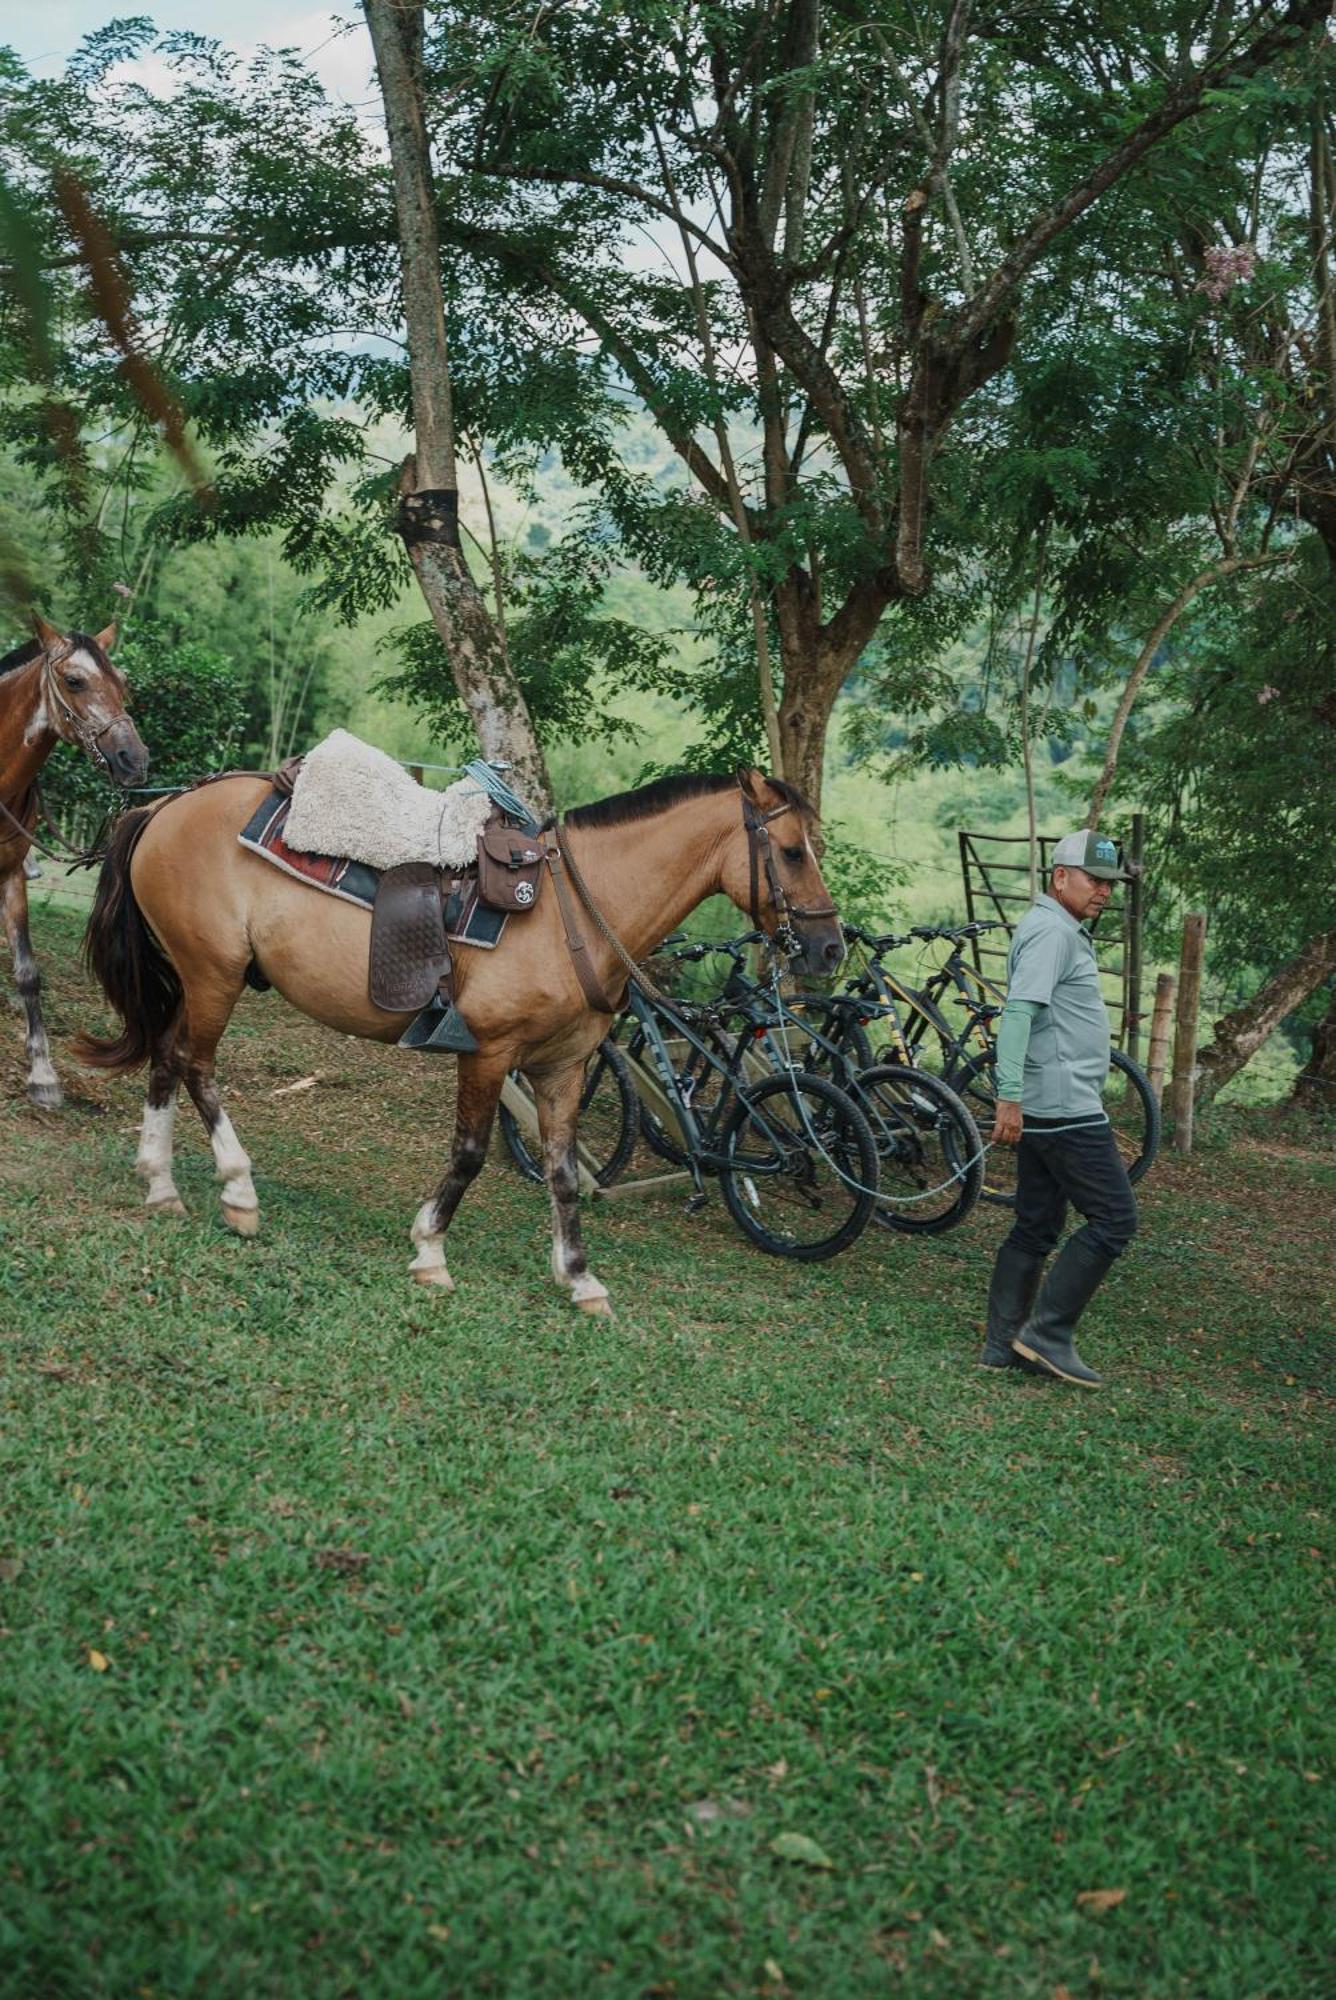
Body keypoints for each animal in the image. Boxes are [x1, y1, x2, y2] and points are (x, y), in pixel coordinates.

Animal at [2, 612, 149, 1112]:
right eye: (74, 681)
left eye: (123, 683)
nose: (134, 759)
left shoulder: (9, 874)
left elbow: (28, 972)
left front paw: (43, 1074)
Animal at [73, 768, 840, 1312]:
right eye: (792, 853)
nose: (830, 947)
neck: (569, 913)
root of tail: (168, 806)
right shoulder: (491, 1052)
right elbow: (469, 1154)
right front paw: (430, 1251)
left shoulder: (563, 1067)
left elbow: (563, 1172)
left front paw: (579, 1278)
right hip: (214, 975)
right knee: (196, 1066)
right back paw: (238, 1190)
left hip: (196, 976)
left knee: (166, 1060)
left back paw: (161, 1183)